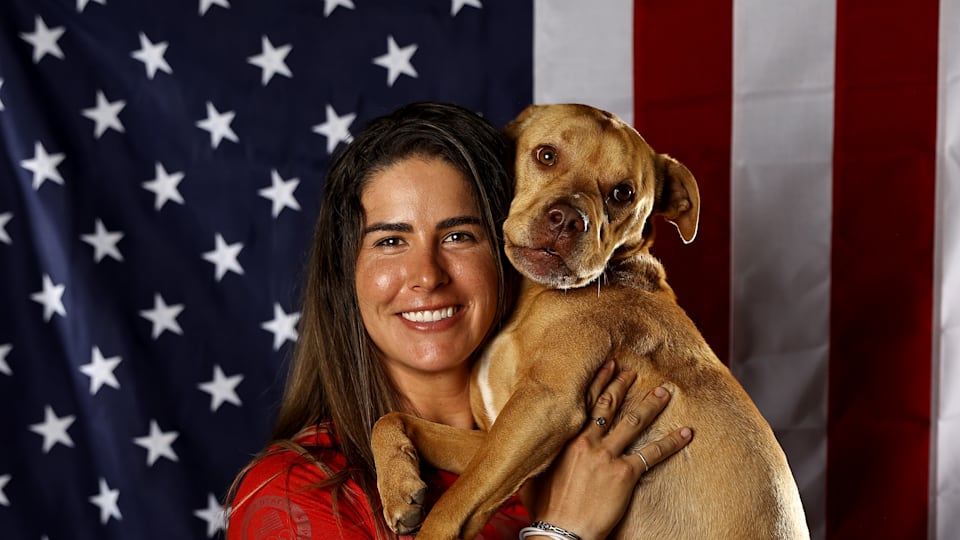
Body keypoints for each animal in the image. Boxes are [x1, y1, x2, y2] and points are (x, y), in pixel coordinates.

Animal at [372, 103, 808, 536]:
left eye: (623, 193)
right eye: (546, 155)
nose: (568, 220)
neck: (535, 299)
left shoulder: (544, 406)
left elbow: (455, 503)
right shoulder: (497, 434)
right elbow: (391, 419)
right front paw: (399, 486)